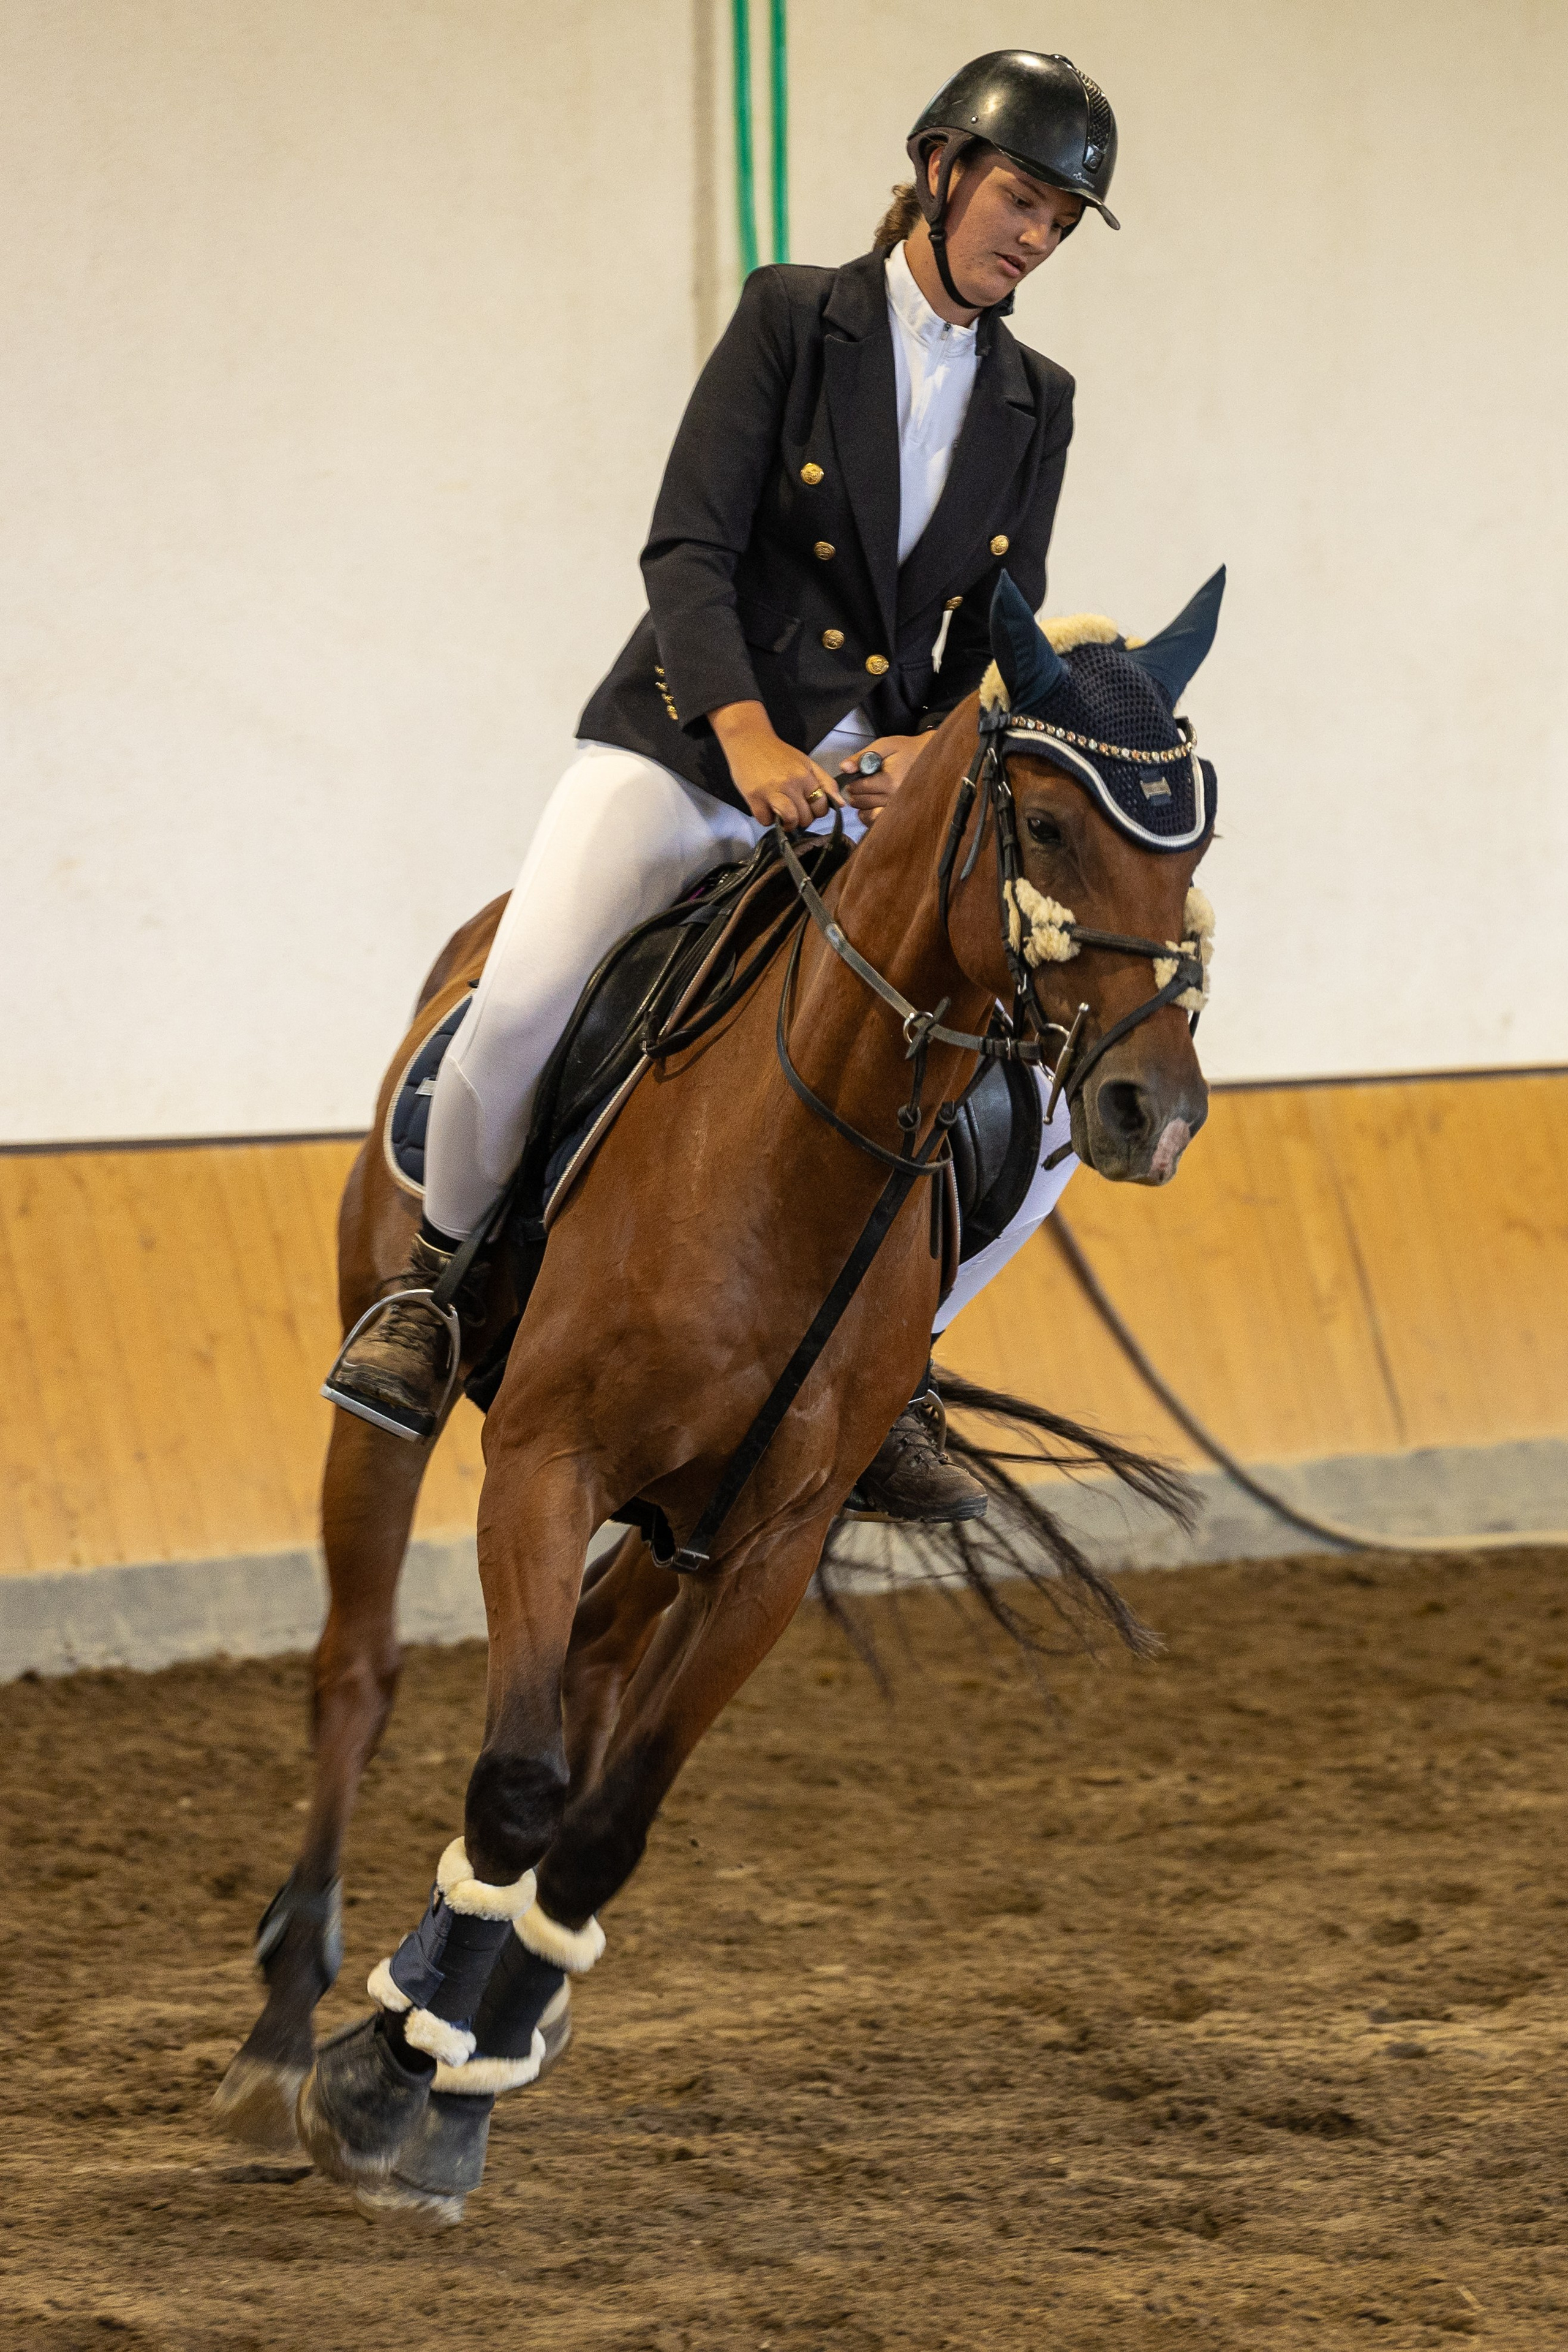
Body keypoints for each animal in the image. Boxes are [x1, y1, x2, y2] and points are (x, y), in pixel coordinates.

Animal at [213, 569, 1224, 2221]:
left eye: (1188, 847)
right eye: (1046, 822)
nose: (1152, 1112)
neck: (794, 1158)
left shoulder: (769, 1542)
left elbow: (602, 1821)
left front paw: (459, 2058)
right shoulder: (543, 1462)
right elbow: (518, 1783)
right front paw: (381, 2084)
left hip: (674, 1518)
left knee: (586, 1672)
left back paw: (479, 1999)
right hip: (407, 1400)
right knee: (357, 1676)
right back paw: (288, 2026)